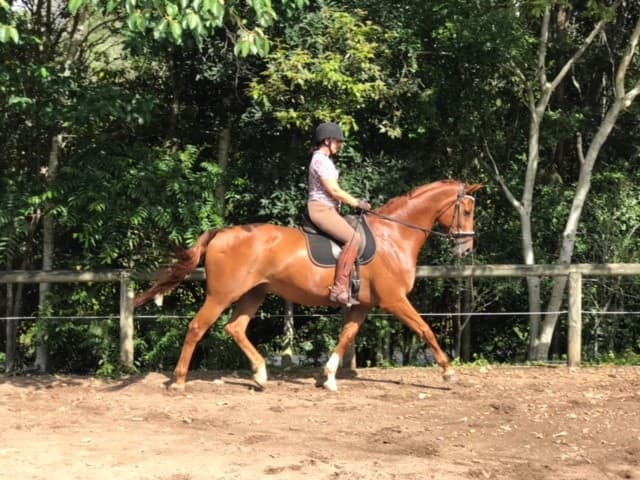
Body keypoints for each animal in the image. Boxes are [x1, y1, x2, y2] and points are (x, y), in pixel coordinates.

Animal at [134, 179, 483, 391]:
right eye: (466, 209)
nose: (466, 249)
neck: (393, 236)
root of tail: (222, 232)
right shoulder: (394, 300)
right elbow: (426, 330)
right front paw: (449, 371)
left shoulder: (364, 305)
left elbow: (346, 336)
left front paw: (328, 378)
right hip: (222, 294)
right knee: (197, 327)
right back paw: (179, 381)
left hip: (254, 293)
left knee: (235, 328)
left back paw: (261, 376)